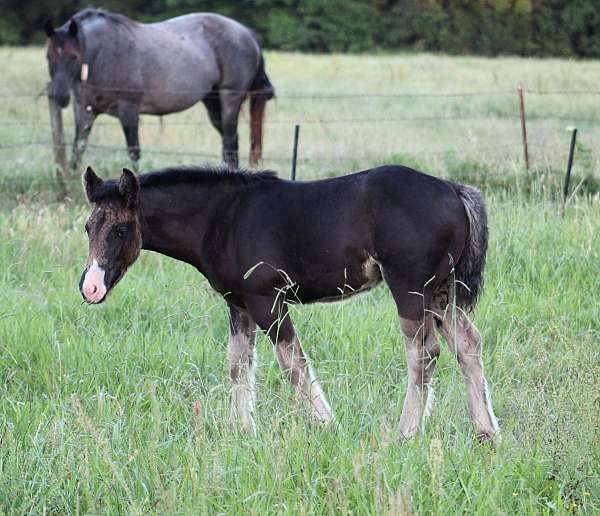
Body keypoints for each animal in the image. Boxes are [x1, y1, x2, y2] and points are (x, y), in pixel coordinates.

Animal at [44, 8, 274, 169]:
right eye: (49, 56)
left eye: (74, 56)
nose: (60, 96)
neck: (103, 54)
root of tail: (248, 34)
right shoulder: (84, 111)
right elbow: (78, 148)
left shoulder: (129, 109)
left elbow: (134, 152)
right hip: (212, 102)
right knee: (230, 145)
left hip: (230, 99)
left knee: (229, 142)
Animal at [78, 163, 502, 442]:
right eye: (88, 227)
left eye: (121, 229)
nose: (91, 288)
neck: (222, 218)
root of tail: (454, 190)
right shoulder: (239, 304)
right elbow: (239, 364)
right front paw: (242, 430)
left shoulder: (267, 299)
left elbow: (292, 363)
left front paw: (327, 425)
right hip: (441, 291)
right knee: (468, 344)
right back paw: (486, 432)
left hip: (411, 287)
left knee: (424, 353)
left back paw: (406, 432)